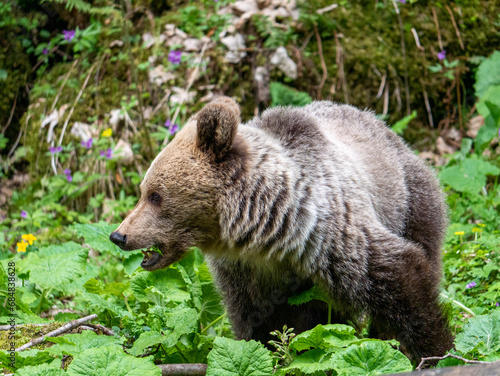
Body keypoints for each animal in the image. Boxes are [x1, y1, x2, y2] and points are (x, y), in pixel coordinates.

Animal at [109, 96, 454, 362]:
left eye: (155, 196)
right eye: (143, 191)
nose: (119, 235)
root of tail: (386, 129)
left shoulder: (330, 234)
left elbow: (400, 280)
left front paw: (436, 351)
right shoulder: (244, 273)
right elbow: (258, 324)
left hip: (413, 201)